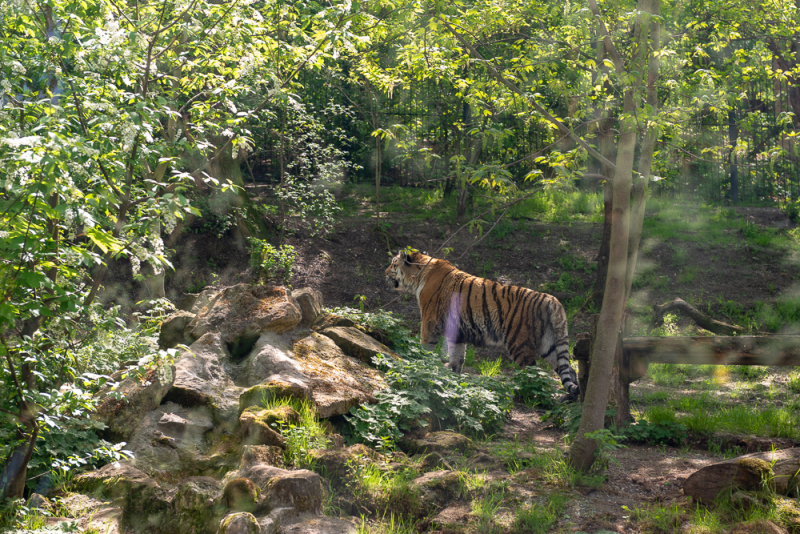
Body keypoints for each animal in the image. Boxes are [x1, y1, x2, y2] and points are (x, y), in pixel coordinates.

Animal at [384, 251, 580, 402]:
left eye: (393, 263)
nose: (384, 272)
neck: (419, 275)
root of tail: (551, 299)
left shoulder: (430, 322)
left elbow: (425, 348)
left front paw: (419, 366)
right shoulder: (458, 333)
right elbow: (457, 358)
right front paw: (454, 381)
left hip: (519, 344)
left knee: (534, 374)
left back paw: (526, 396)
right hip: (550, 344)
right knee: (569, 370)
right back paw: (571, 398)